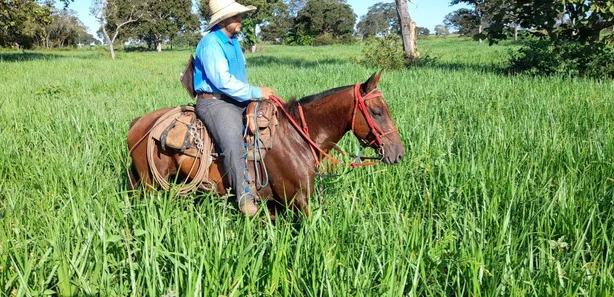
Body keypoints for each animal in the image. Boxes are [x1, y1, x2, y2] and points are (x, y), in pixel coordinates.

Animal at [127, 72, 406, 214]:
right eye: (377, 112)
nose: (399, 153)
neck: (296, 138)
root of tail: (138, 123)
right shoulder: (298, 201)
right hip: (150, 186)